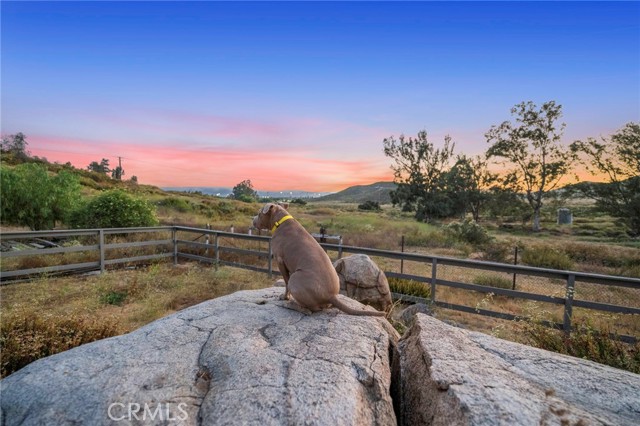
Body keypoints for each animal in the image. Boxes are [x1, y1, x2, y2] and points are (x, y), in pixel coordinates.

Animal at [254, 203, 384, 316]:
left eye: (259, 213)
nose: (253, 219)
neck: (280, 221)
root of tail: (330, 296)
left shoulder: (280, 261)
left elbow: (285, 282)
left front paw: (285, 297)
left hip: (295, 278)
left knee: (309, 310)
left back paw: (290, 304)